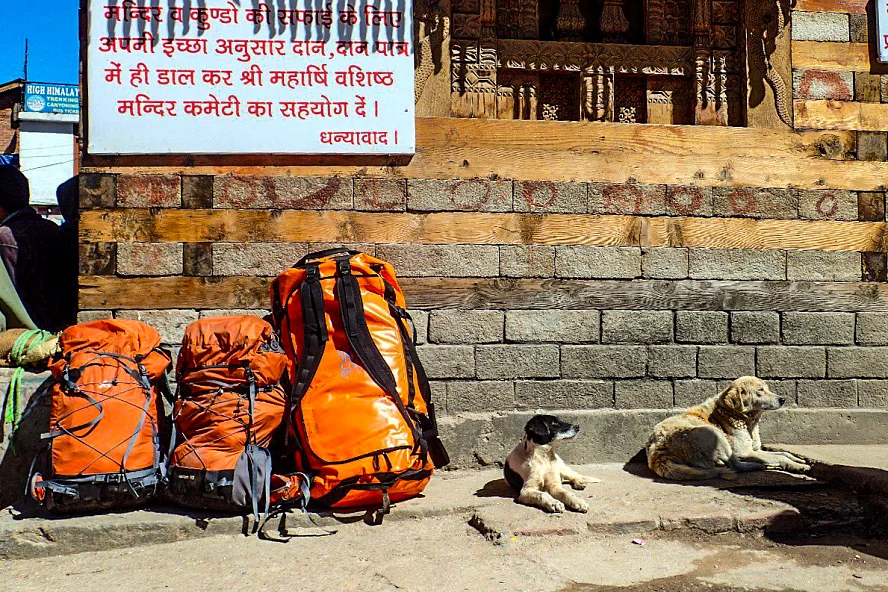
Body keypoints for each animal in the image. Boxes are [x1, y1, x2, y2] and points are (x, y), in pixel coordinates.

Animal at [644, 374, 812, 480]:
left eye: (768, 388)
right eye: (760, 391)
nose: (783, 399)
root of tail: (658, 454)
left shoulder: (755, 449)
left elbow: (782, 453)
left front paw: (797, 460)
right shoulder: (745, 451)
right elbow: (778, 457)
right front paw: (795, 466)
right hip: (714, 434)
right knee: (735, 465)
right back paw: (756, 466)